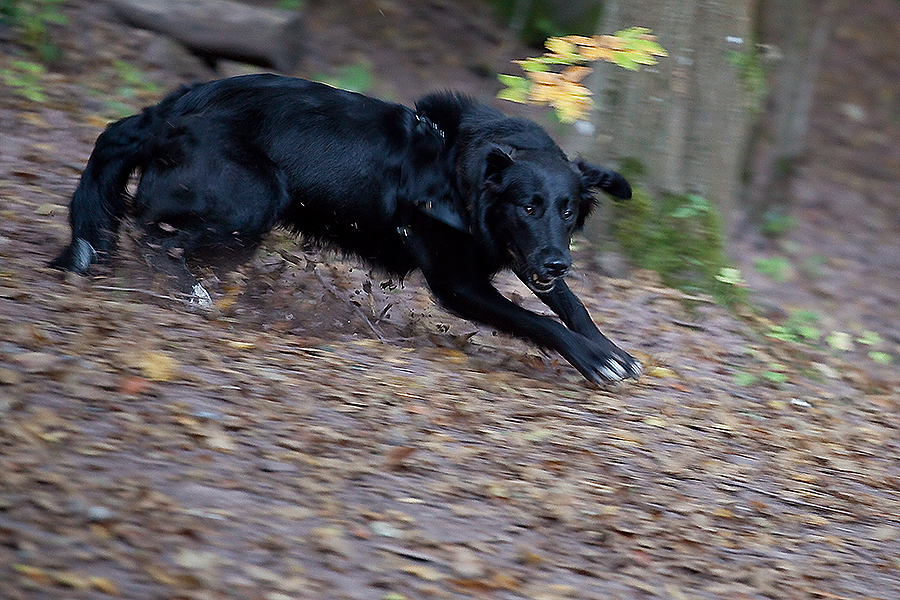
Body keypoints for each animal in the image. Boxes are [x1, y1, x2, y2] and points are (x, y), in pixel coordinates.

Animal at [52, 75, 640, 382]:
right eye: (528, 207)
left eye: (567, 210)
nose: (559, 261)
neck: (456, 170)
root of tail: (164, 115)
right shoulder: (460, 286)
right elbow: (539, 320)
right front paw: (591, 357)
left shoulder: (521, 256)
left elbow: (569, 303)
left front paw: (608, 347)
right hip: (258, 196)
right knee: (154, 236)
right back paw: (188, 291)